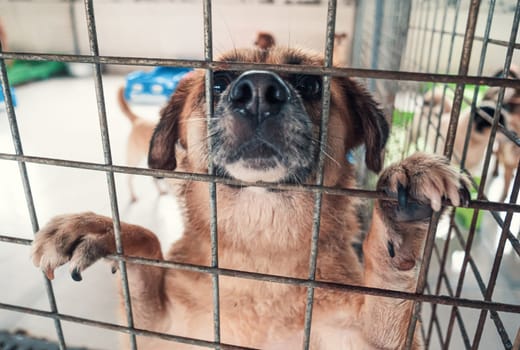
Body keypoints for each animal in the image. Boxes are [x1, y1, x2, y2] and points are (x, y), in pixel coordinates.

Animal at [33, 47, 472, 350]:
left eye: (310, 84)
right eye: (217, 82)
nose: (258, 90)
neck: (261, 255)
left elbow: (390, 299)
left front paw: (402, 211)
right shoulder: (155, 333)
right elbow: (148, 243)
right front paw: (100, 228)